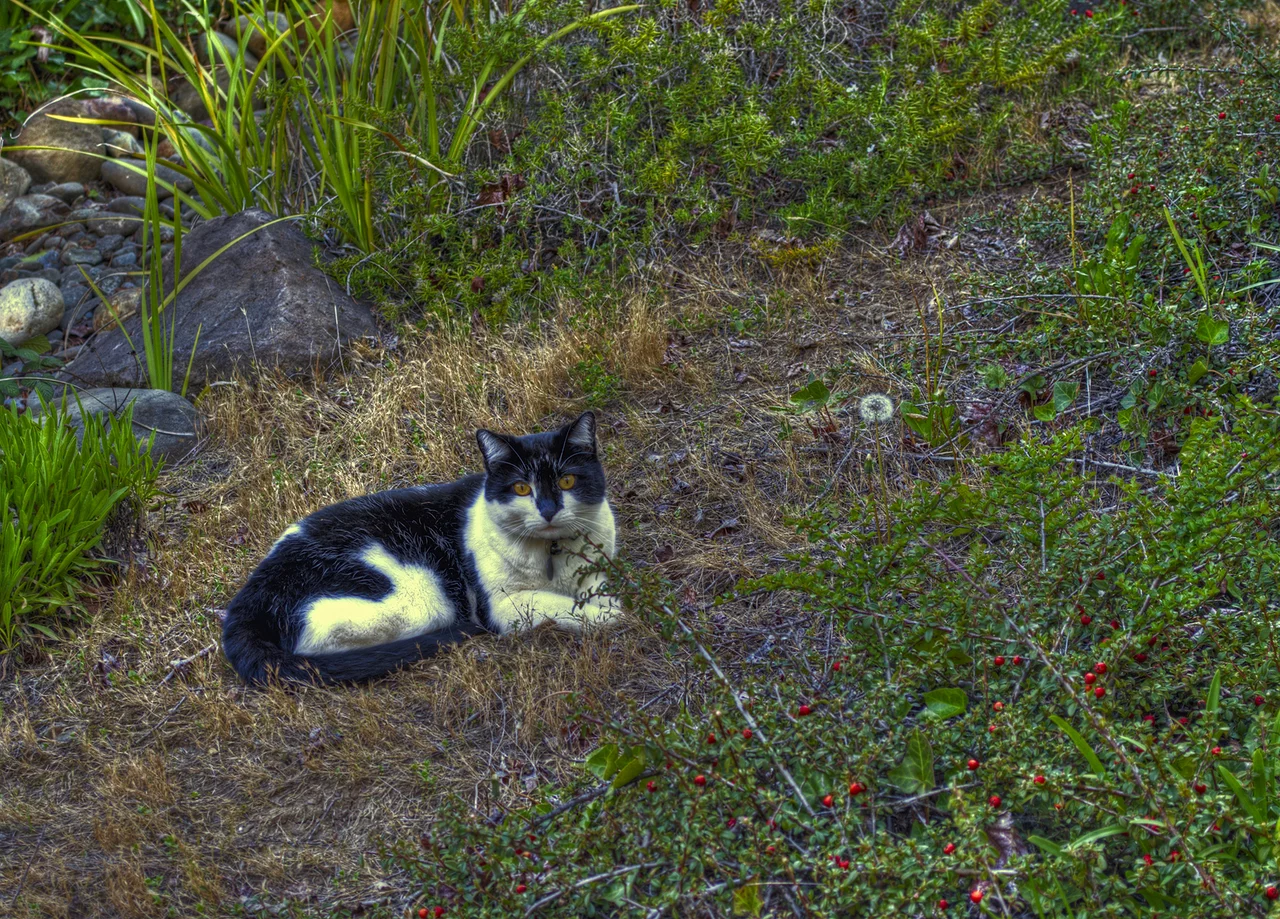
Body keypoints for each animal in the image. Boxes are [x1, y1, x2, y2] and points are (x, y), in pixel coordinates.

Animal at [221, 412, 618, 685]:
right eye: (522, 488)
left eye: (567, 481)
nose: (548, 510)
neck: (552, 556)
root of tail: (248, 598)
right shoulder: (504, 605)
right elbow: (563, 606)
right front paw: (607, 617)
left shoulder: (601, 564)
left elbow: (601, 590)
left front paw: (609, 605)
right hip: (422, 601)